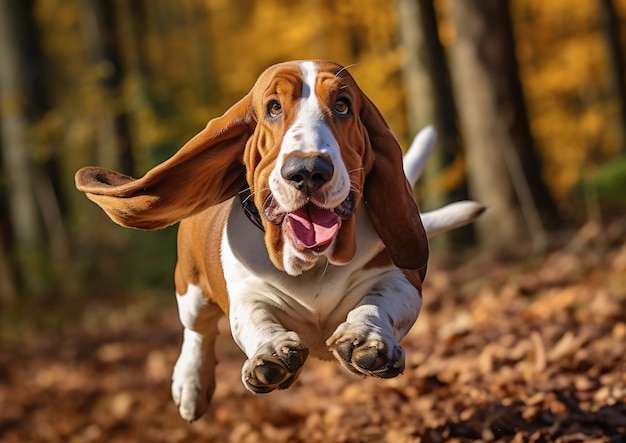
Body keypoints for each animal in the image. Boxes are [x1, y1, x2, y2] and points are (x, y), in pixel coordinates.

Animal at [74, 59, 482, 424]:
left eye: (342, 105)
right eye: (273, 107)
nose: (307, 170)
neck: (312, 262)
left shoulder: (400, 280)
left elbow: (378, 303)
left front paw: (366, 338)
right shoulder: (247, 295)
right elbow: (255, 319)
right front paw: (269, 354)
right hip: (189, 289)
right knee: (198, 332)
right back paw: (191, 386)